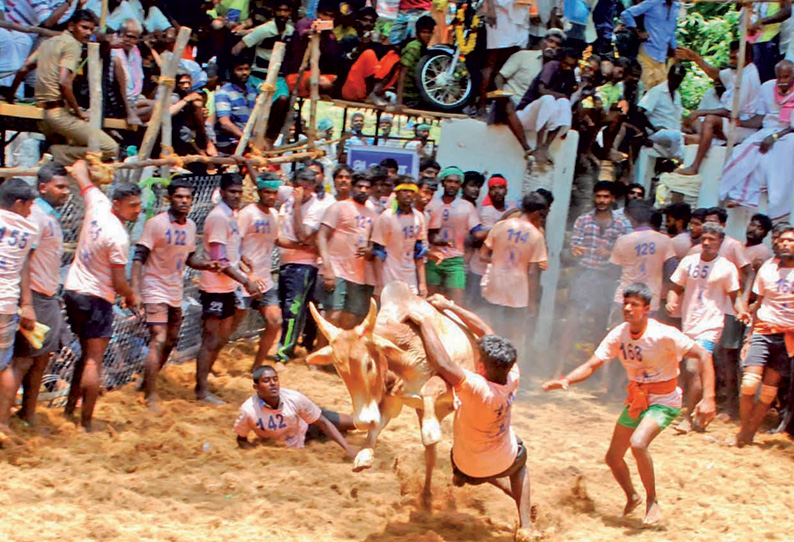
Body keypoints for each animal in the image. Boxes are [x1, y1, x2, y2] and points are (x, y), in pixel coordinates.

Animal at [306, 282, 474, 504]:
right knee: (430, 457)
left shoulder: (450, 381)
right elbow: (377, 426)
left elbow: (430, 389)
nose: (361, 421)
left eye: (368, 364)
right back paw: (426, 497)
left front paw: (431, 430)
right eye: (340, 370)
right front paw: (364, 455)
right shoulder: (392, 401)